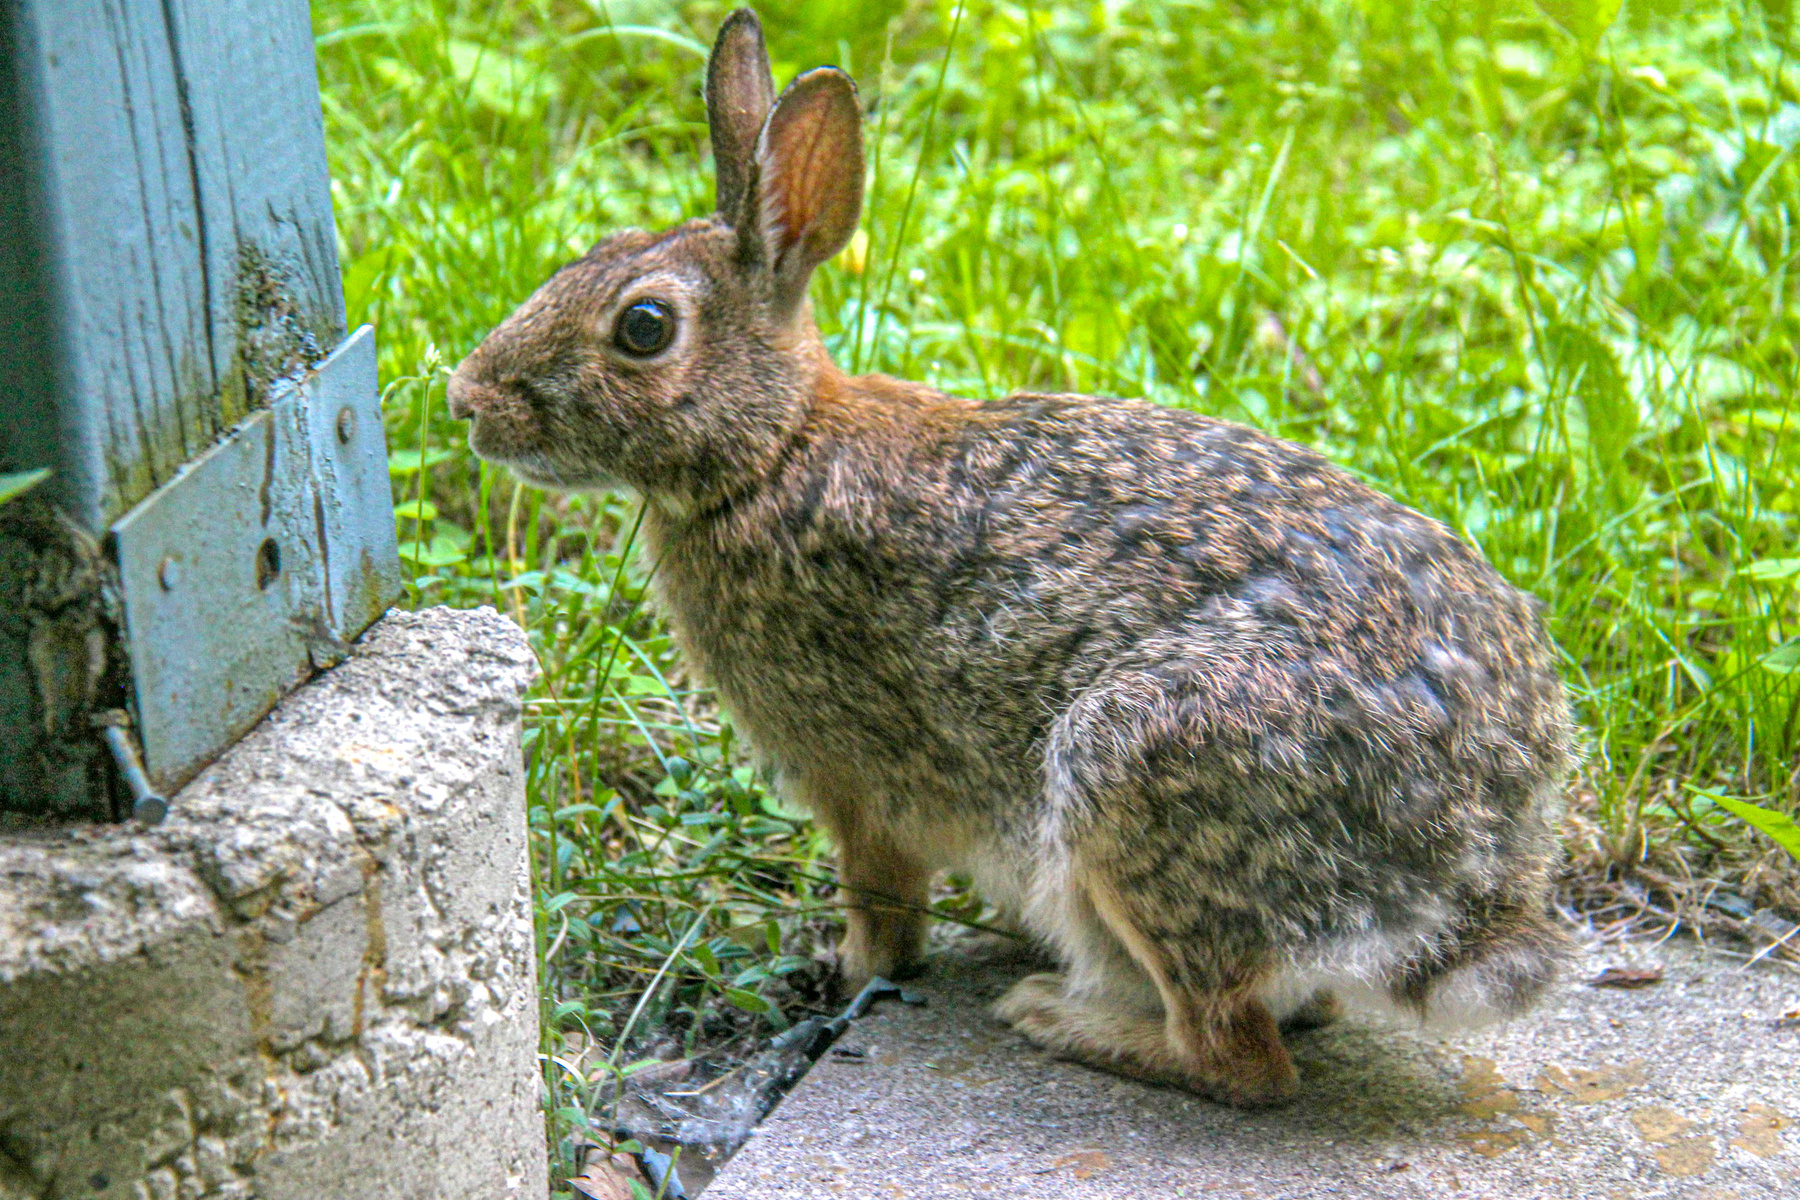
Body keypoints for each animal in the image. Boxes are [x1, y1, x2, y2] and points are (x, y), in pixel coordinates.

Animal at [445, 8, 1577, 1107]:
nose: (466, 400)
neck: (776, 450)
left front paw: (850, 973)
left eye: (644, 327)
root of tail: (1471, 872)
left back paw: (1061, 1021)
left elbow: (883, 902)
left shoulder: (856, 780)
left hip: (1139, 774)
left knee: (1243, 1063)